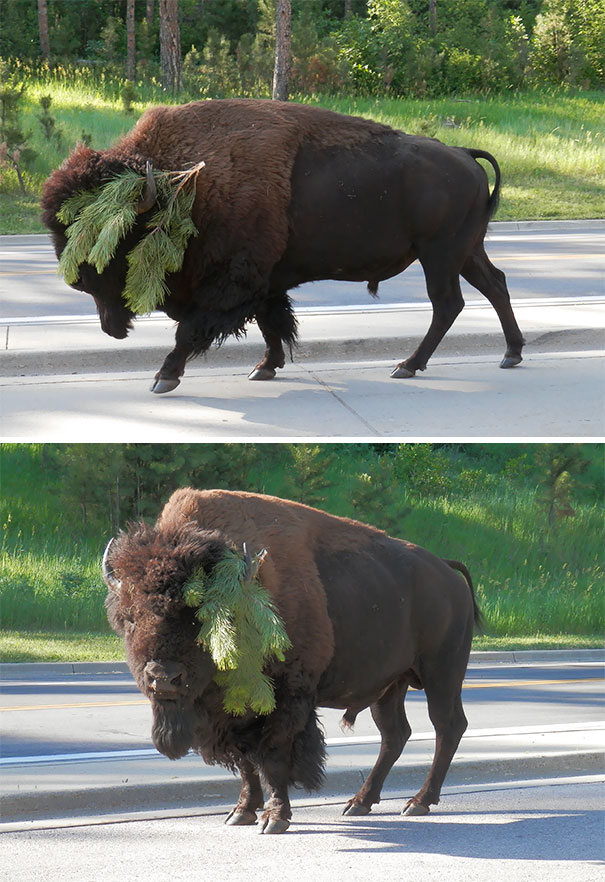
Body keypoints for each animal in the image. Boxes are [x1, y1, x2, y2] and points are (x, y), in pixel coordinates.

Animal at [42, 99, 524, 394]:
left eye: (116, 236)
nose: (77, 280)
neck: (183, 185)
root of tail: (464, 154)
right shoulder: (263, 281)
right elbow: (269, 322)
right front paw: (265, 367)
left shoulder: (231, 281)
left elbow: (194, 329)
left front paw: (165, 377)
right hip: (465, 252)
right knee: (495, 285)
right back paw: (511, 354)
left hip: (439, 255)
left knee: (448, 303)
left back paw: (407, 365)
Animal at [103, 488, 481, 833]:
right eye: (130, 618)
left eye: (200, 617)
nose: (163, 677)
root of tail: (447, 571)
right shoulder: (233, 713)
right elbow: (246, 762)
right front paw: (241, 812)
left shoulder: (286, 698)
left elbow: (272, 756)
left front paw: (275, 818)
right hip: (390, 685)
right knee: (395, 734)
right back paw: (359, 803)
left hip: (442, 674)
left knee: (447, 727)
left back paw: (417, 802)